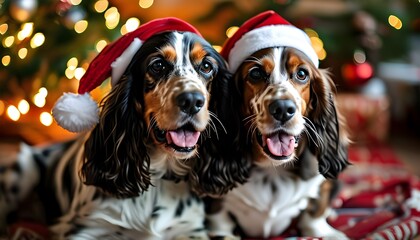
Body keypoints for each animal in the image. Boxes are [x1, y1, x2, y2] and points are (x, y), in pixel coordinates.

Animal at [206, 11, 348, 240]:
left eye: (302, 74)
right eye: (255, 73)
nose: (283, 108)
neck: (272, 170)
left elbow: (314, 214)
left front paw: (327, 232)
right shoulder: (216, 207)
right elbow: (221, 224)